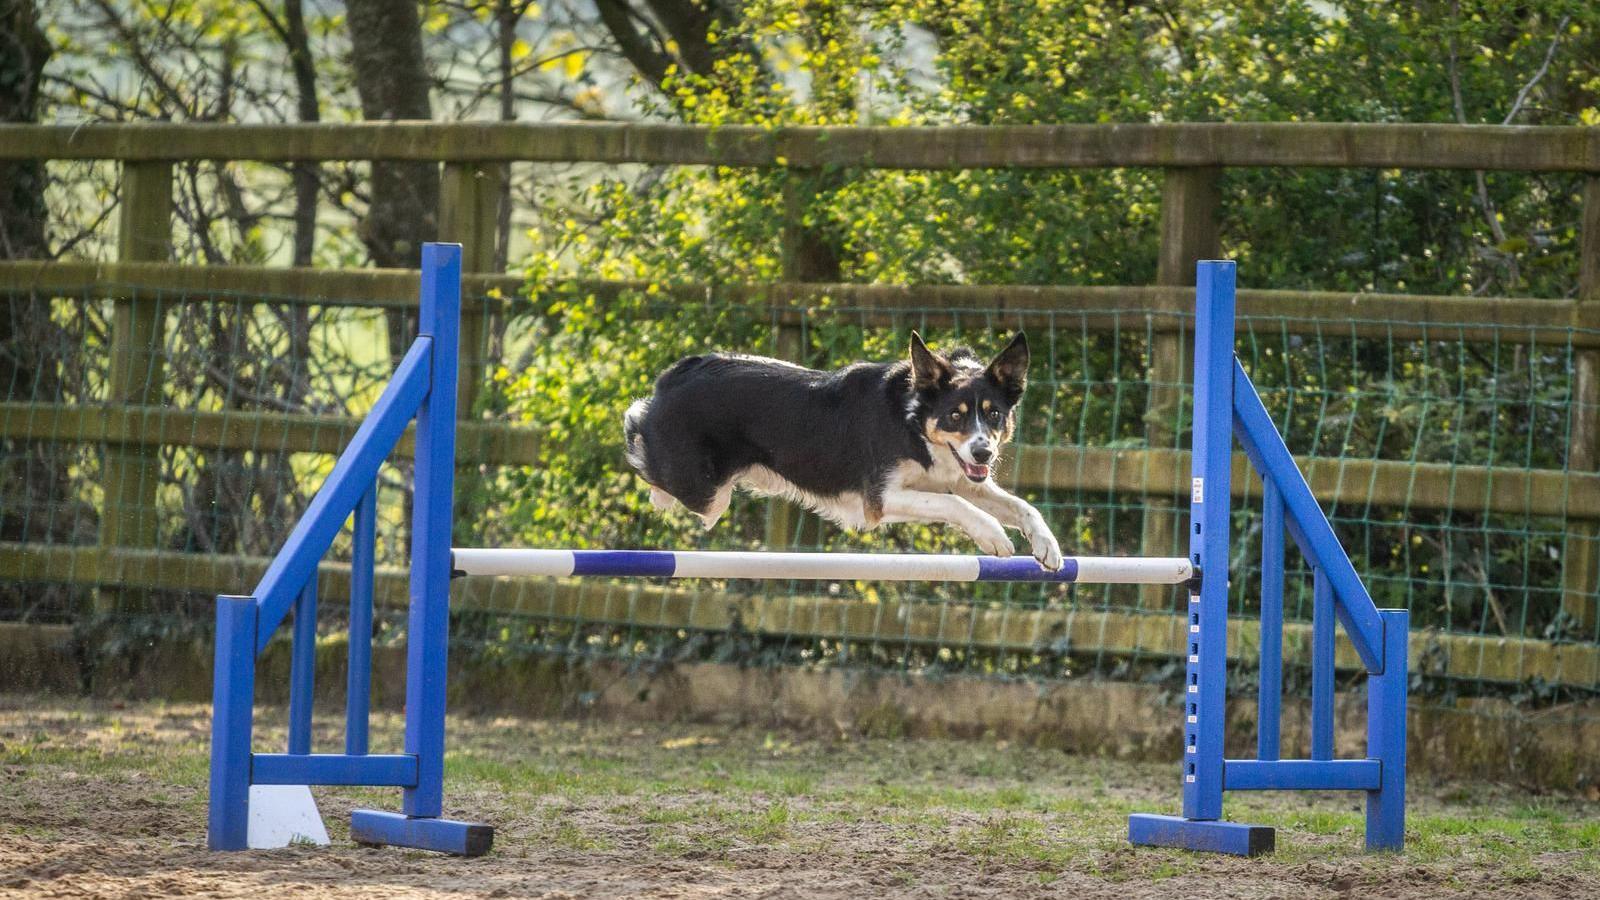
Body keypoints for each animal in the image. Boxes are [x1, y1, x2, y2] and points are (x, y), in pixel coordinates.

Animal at [620, 329, 1062, 566]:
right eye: (955, 416)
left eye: (994, 415)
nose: (984, 454)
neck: (912, 422)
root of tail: (674, 376)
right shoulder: (879, 498)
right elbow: (956, 506)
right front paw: (993, 537)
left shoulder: (959, 478)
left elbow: (1021, 506)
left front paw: (1047, 546)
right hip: (708, 492)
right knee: (646, 453)